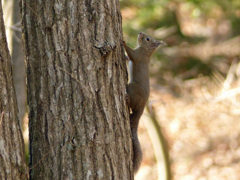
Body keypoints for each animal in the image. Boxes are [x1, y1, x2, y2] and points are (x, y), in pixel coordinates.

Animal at [122, 32, 167, 173]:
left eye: (147, 39)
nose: (140, 33)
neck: (146, 51)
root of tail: (142, 108)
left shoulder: (138, 55)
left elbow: (132, 54)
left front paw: (124, 43)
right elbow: (129, 57)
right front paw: (125, 56)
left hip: (132, 89)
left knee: (131, 103)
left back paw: (127, 98)